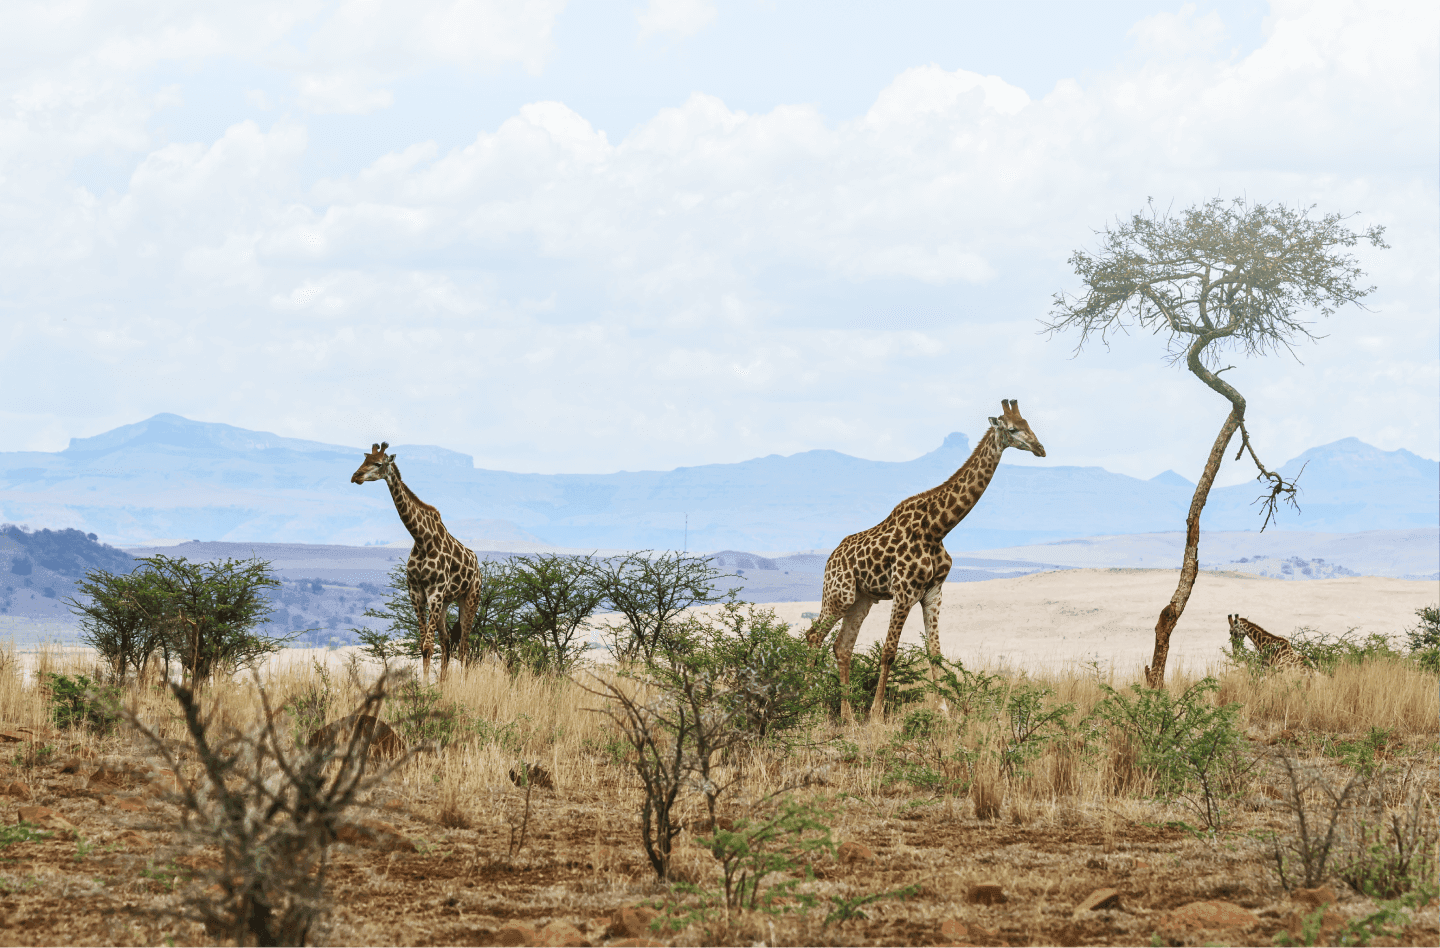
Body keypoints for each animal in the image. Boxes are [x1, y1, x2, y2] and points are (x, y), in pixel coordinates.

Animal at [351, 442, 481, 684]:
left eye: (378, 463)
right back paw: (443, 684)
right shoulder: (416, 593)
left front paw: (424, 687)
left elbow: (428, 646)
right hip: (446, 602)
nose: (356, 476)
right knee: (447, 642)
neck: (422, 539)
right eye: (364, 460)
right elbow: (423, 645)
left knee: (464, 646)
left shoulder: (435, 592)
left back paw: (463, 684)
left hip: (470, 598)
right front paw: (428, 685)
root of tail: (478, 567)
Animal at [805, 400, 1046, 722]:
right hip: (838, 595)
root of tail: (830, 559)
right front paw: (876, 714)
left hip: (861, 599)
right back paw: (808, 705)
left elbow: (935, 653)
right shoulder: (904, 591)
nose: (1040, 448)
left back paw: (848, 716)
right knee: (814, 636)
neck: (937, 528)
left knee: (842, 646)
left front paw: (944, 711)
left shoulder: (933, 592)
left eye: (1028, 424)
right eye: (1012, 429)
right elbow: (889, 651)